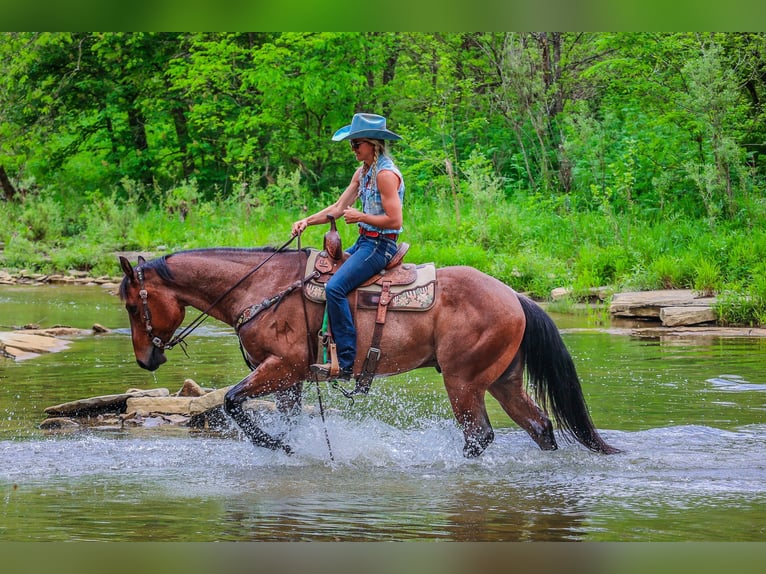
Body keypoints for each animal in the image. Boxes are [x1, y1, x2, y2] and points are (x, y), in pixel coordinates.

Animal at [118, 246, 624, 460]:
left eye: (131, 305)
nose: (146, 359)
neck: (261, 288)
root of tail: (515, 297)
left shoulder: (282, 367)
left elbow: (231, 401)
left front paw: (278, 445)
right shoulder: (289, 381)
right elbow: (279, 416)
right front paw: (287, 446)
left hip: (463, 382)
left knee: (479, 436)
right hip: (502, 381)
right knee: (539, 425)